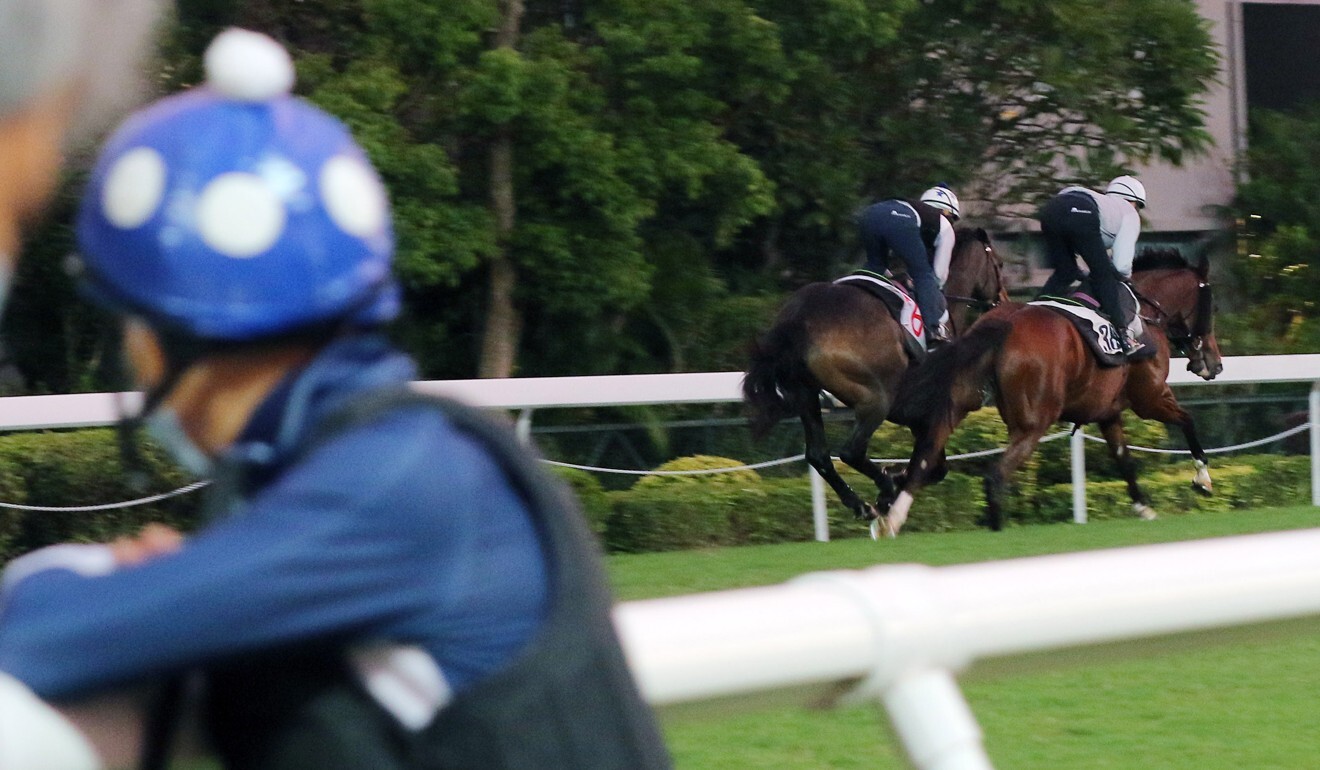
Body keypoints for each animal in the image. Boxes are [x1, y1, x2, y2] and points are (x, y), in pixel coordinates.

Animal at [744, 228, 1008, 523]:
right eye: (999, 265)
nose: (1003, 300)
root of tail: (798, 320)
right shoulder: (928, 412)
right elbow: (933, 467)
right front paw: (894, 484)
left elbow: (932, 467)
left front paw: (894, 482)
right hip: (876, 399)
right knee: (851, 451)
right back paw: (884, 487)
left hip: (806, 393)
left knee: (819, 455)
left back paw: (861, 503)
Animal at [881, 248, 1219, 536]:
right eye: (1211, 307)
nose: (1215, 363)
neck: (1143, 312)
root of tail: (1004, 323)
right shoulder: (1150, 399)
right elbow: (1187, 420)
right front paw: (1202, 479)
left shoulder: (1107, 412)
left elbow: (1123, 458)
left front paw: (1144, 507)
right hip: (1034, 423)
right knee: (995, 475)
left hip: (960, 403)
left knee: (926, 456)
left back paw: (891, 516)